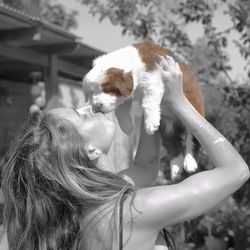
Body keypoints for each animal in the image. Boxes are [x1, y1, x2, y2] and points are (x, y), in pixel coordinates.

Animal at [83, 41, 204, 178]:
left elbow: (147, 101)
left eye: (106, 89)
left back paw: (190, 163)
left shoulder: (154, 78)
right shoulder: (126, 96)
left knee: (192, 140)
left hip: (194, 111)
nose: (97, 106)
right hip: (167, 127)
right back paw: (175, 168)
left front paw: (150, 124)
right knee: (173, 144)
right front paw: (128, 127)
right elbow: (120, 111)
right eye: (91, 92)